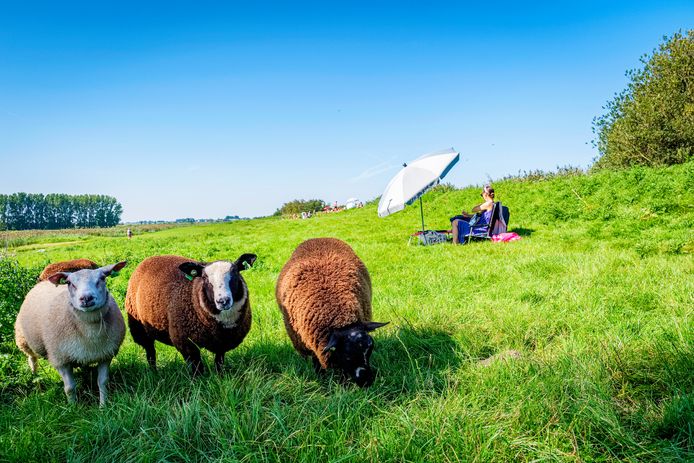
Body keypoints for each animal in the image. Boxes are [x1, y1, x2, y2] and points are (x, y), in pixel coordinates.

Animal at [14, 262, 128, 408]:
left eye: (102, 278)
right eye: (69, 283)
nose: (86, 298)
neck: (90, 332)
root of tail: (42, 282)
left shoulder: (105, 354)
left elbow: (102, 382)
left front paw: (103, 406)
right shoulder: (60, 359)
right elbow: (69, 388)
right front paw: (73, 408)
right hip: (24, 340)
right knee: (32, 359)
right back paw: (36, 379)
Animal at [124, 252, 256, 376]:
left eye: (235, 274)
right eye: (205, 278)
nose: (223, 301)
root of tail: (151, 258)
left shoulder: (222, 342)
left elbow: (219, 362)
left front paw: (220, 377)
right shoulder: (187, 344)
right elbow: (197, 368)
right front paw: (199, 382)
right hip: (139, 329)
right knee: (150, 352)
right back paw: (154, 373)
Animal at [276, 239, 386, 388]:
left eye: (369, 351)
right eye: (347, 355)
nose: (367, 381)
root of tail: (318, 237)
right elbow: (316, 361)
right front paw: (321, 377)